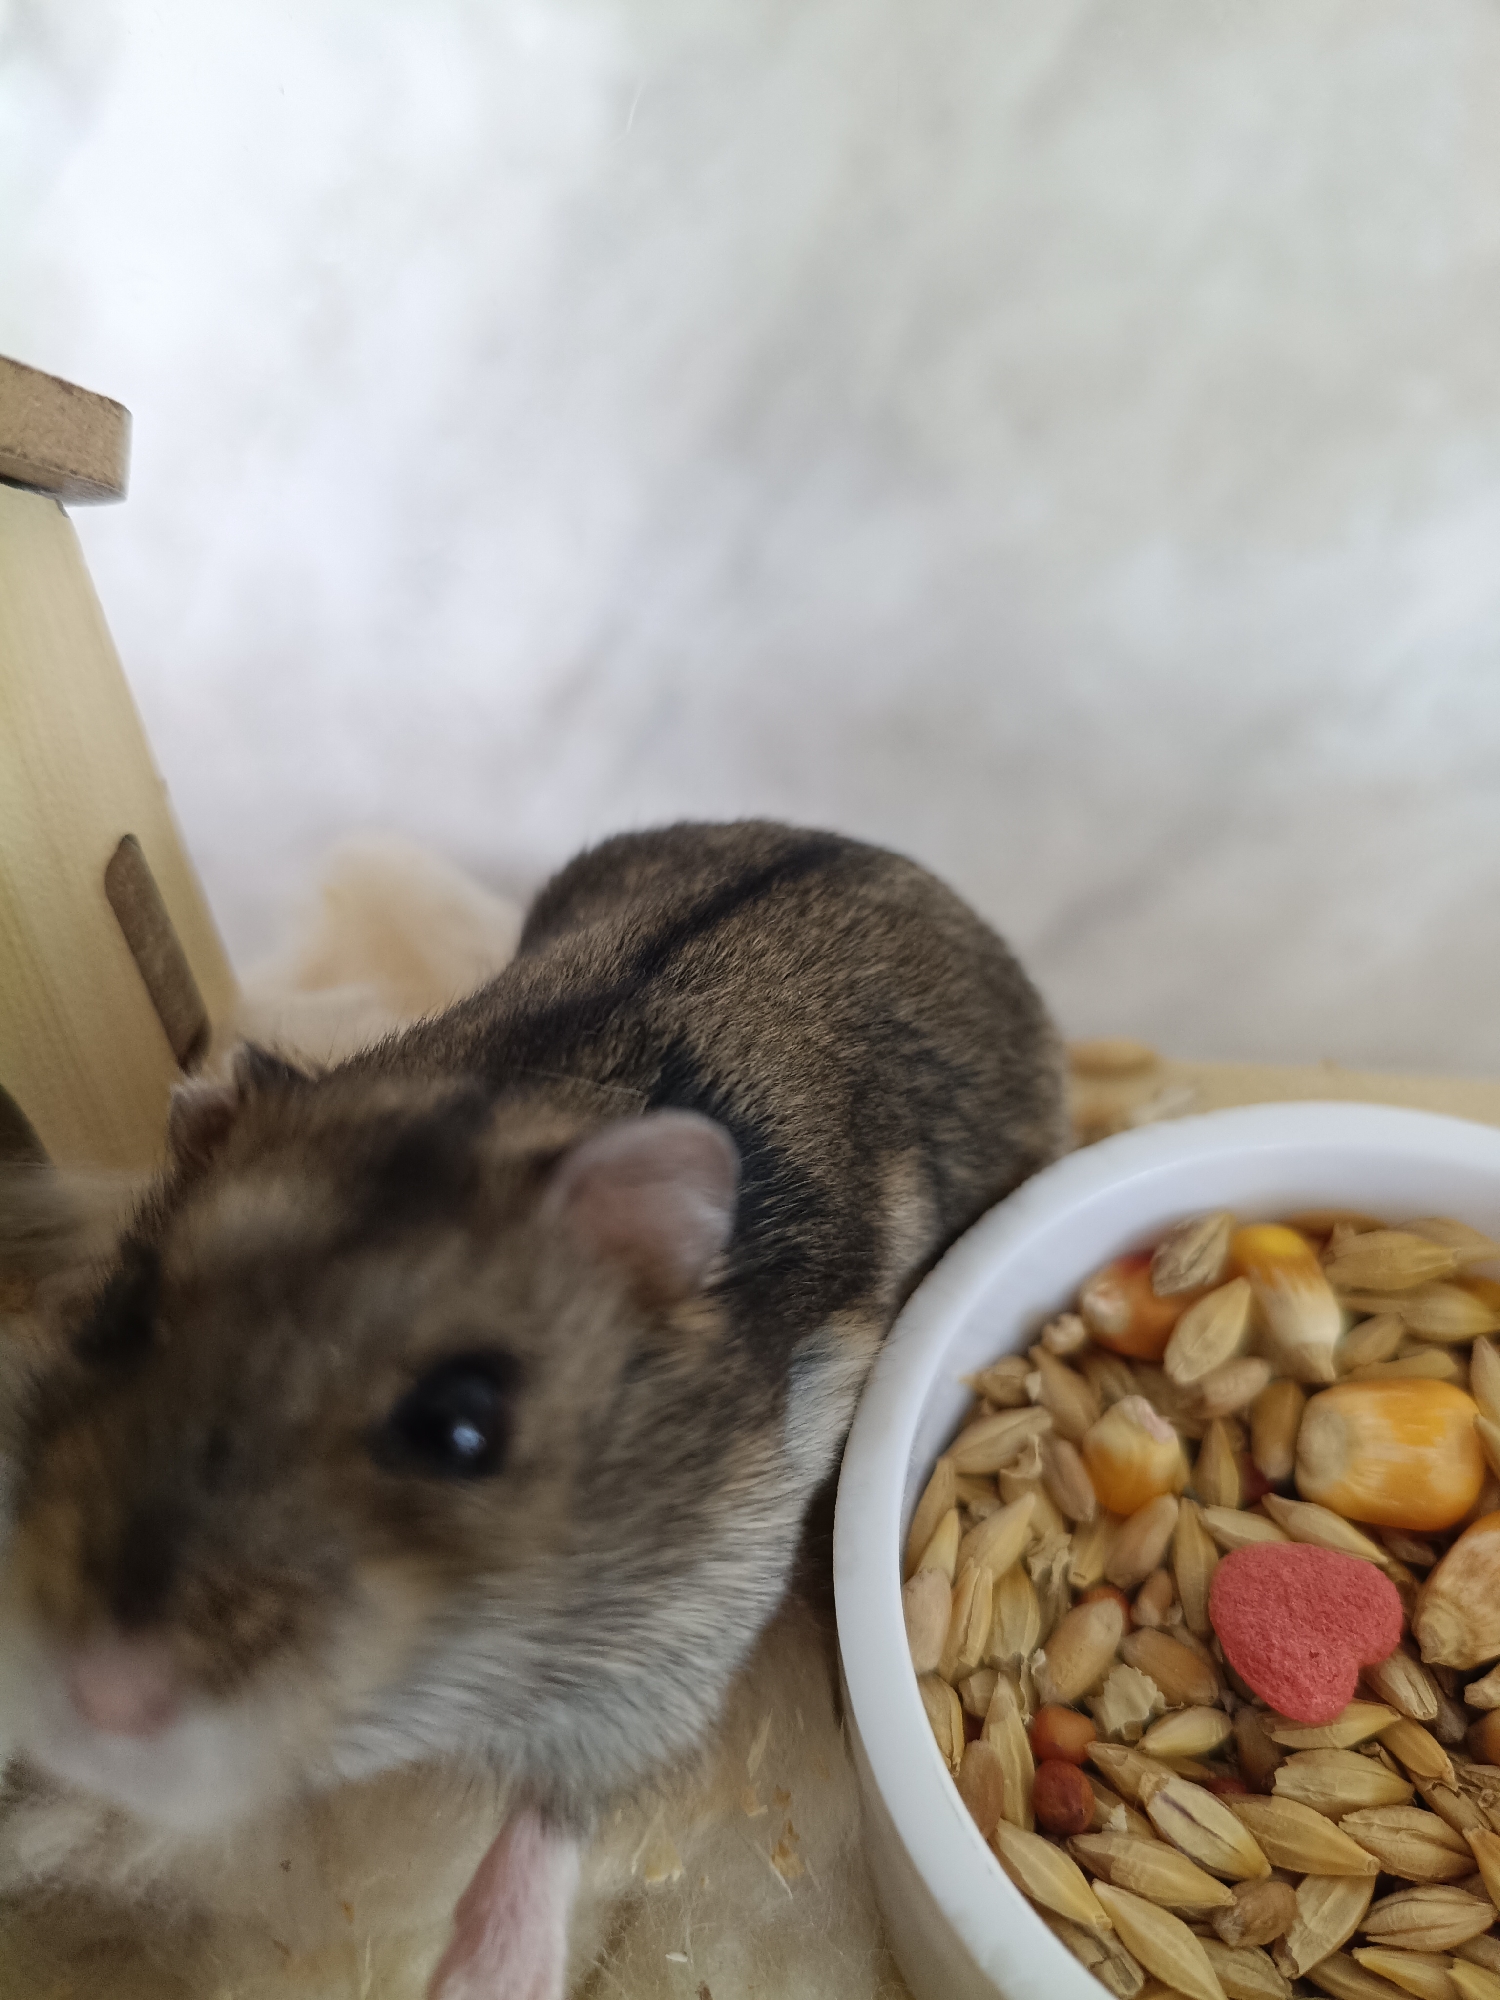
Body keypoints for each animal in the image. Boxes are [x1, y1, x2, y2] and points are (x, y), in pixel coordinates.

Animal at [0, 820, 1065, 1998]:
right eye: (122, 1311)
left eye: (463, 1428)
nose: (95, 1700)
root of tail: (878, 851)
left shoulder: (681, 1628)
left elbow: (551, 1819)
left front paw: (478, 1979)